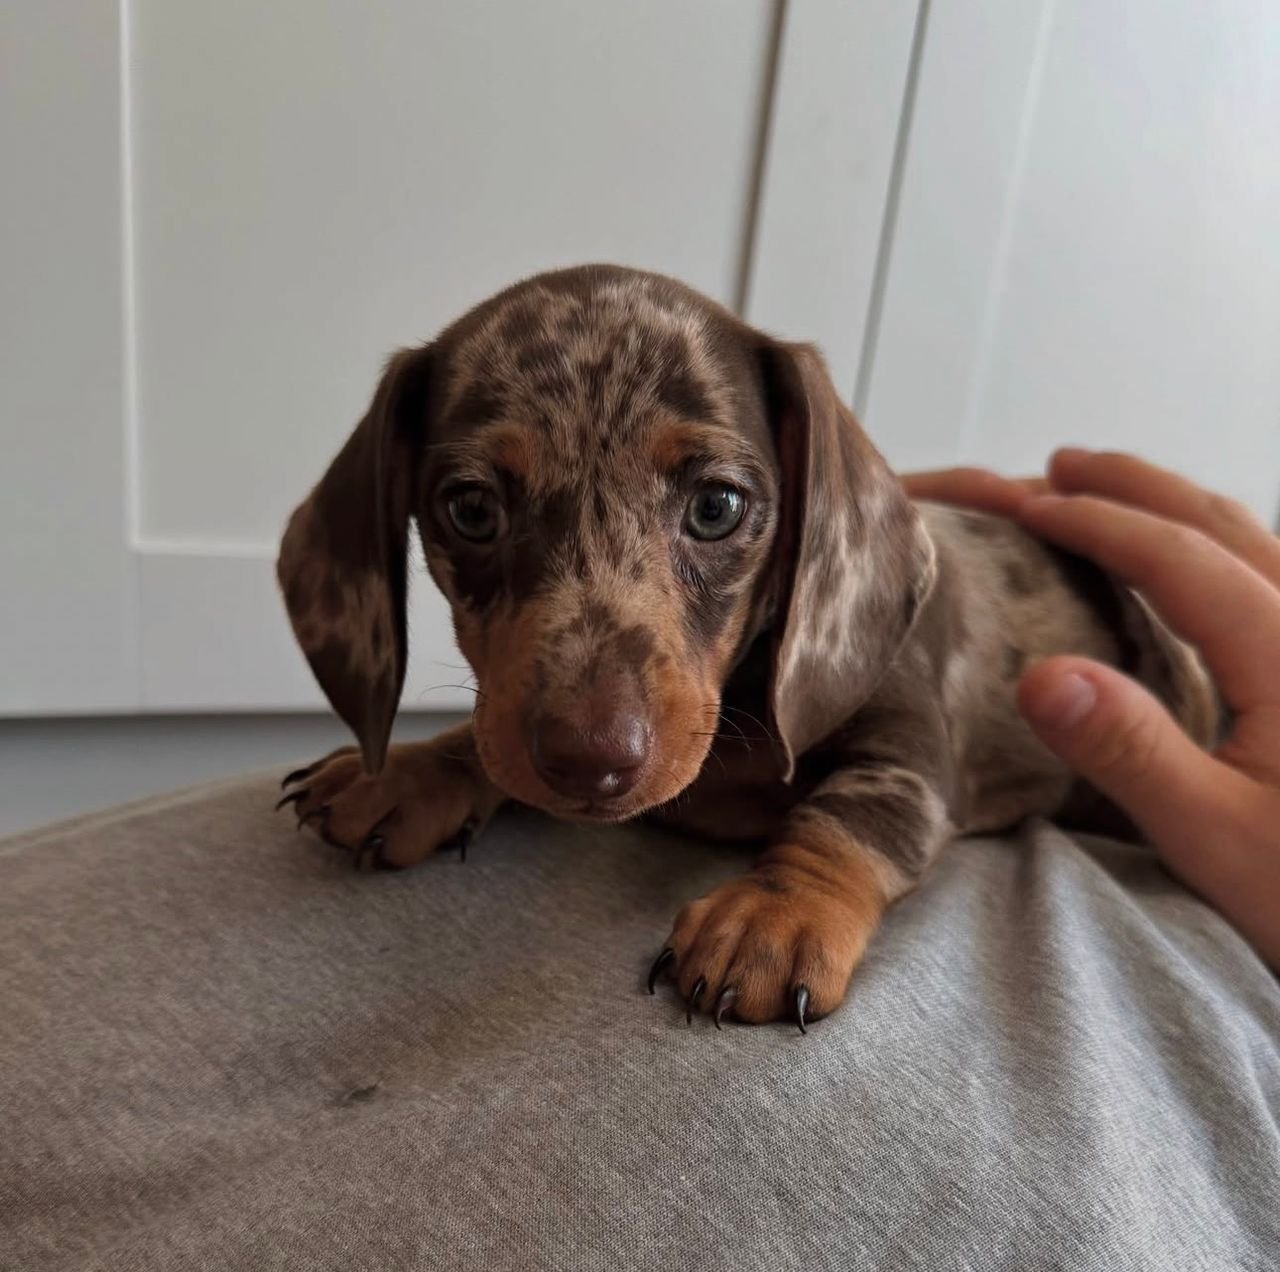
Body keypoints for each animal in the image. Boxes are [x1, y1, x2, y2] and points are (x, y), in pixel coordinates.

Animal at [275, 264, 1217, 1030]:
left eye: (717, 506)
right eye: (471, 508)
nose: (592, 761)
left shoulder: (910, 750)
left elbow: (844, 816)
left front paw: (773, 915)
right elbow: (486, 735)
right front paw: (408, 770)